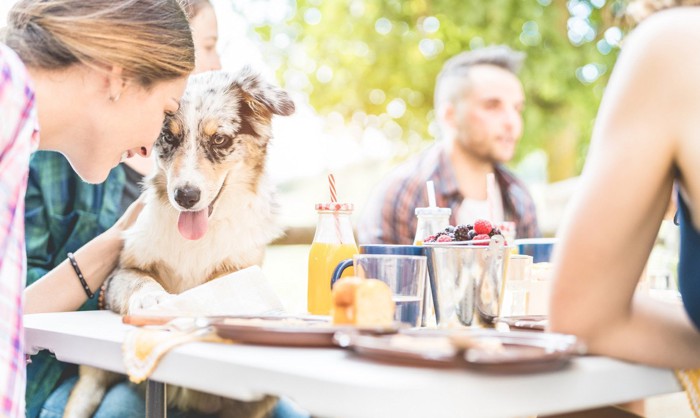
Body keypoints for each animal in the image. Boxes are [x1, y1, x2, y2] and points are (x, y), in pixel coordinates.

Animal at [63, 68, 296, 418]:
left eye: (219, 139)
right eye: (169, 138)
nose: (186, 196)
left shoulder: (242, 266)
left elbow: (224, 283)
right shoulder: (123, 267)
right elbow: (138, 280)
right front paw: (153, 299)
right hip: (92, 380)